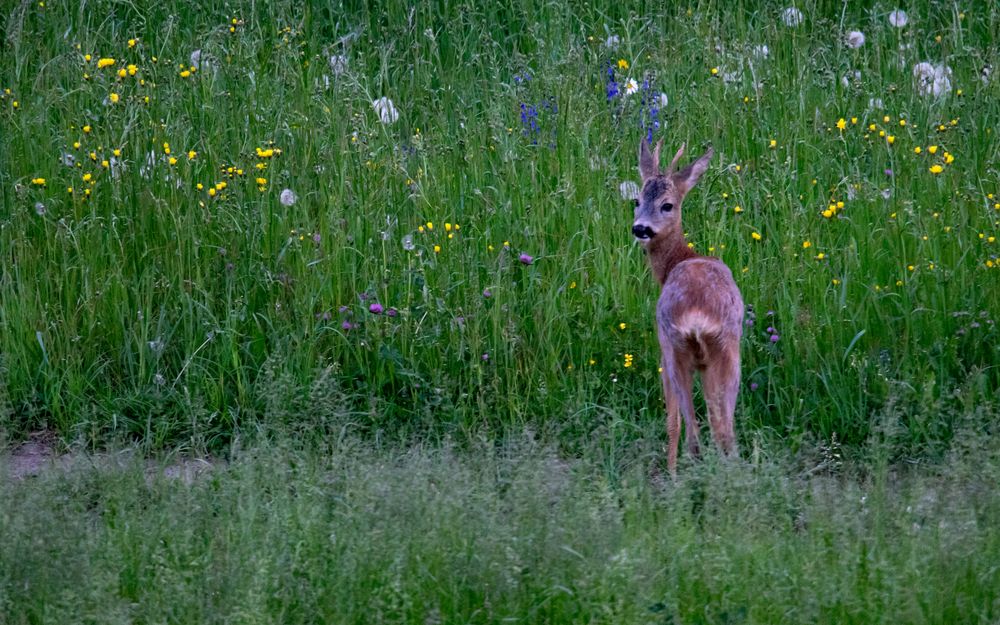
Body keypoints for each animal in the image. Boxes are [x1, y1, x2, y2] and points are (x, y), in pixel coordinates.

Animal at [632, 139, 744, 470]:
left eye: (667, 205)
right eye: (636, 200)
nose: (640, 228)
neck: (677, 260)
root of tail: (696, 315)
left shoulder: (663, 348)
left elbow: (673, 421)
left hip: (674, 348)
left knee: (687, 428)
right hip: (727, 349)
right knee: (724, 428)